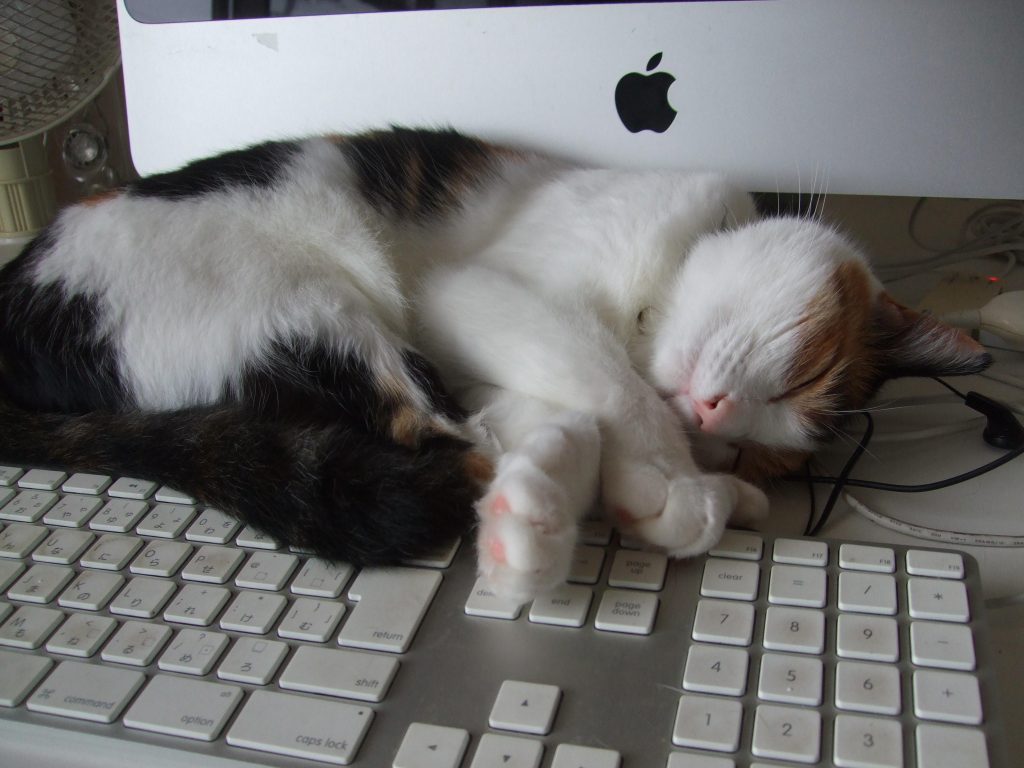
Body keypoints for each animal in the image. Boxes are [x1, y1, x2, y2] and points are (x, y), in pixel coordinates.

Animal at [0, 129, 991, 606]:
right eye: (801, 378)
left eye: (758, 442)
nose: (714, 423)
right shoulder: (468, 291)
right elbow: (606, 380)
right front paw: (671, 485)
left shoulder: (483, 348)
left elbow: (572, 401)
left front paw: (560, 513)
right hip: (306, 294)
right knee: (433, 434)